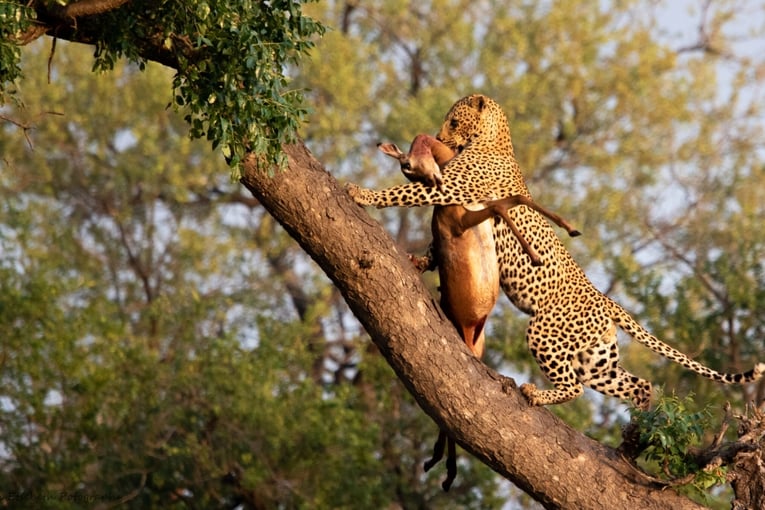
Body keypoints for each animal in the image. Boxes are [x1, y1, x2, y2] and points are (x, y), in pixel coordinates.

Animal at [346, 93, 765, 411]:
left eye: (453, 121)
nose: (436, 135)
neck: (493, 140)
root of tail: (607, 302)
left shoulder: (450, 188)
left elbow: (404, 193)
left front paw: (361, 193)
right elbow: (433, 238)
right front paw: (420, 260)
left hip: (544, 331)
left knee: (574, 386)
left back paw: (536, 394)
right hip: (597, 359)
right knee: (637, 385)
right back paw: (639, 426)